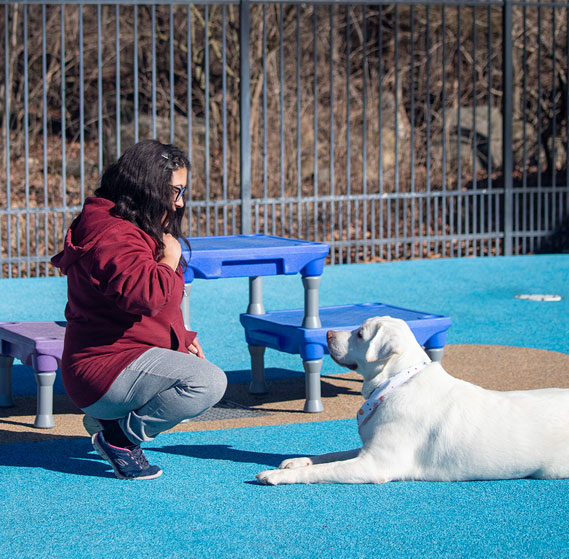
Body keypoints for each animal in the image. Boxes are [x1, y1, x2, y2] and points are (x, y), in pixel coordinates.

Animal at [256, 316, 568, 486]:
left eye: (360, 333)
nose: (328, 333)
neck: (397, 382)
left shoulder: (374, 464)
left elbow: (324, 470)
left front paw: (276, 476)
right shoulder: (368, 450)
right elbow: (328, 456)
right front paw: (296, 462)